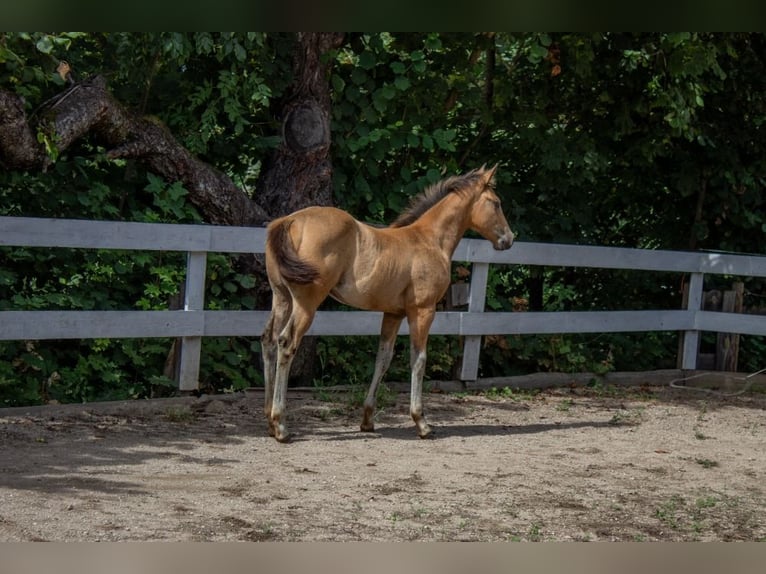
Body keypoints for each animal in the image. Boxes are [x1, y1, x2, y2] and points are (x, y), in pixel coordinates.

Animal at [260, 164, 516, 444]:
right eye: (496, 203)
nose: (509, 239)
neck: (430, 240)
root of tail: (290, 221)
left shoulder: (393, 314)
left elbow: (383, 359)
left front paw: (367, 419)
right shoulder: (422, 311)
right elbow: (418, 359)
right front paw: (421, 422)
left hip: (281, 298)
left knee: (269, 340)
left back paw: (269, 422)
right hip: (306, 303)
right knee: (286, 343)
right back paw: (281, 425)